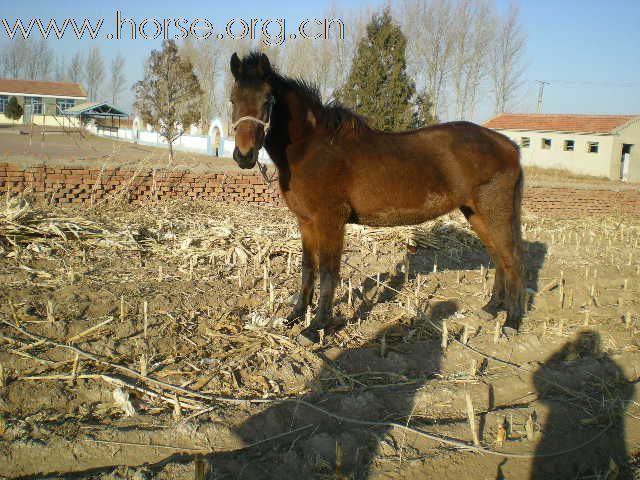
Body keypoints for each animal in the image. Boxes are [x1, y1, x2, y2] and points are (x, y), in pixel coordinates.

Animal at [230, 51, 524, 344]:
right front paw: (295, 315)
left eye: (267, 99)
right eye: (233, 99)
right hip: (475, 213)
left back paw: (512, 321)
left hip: (494, 211)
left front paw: (316, 328)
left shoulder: (330, 221)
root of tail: (508, 145)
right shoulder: (305, 222)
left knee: (512, 259)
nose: (244, 156)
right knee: (498, 256)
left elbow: (328, 272)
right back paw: (491, 308)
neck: (313, 148)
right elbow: (307, 268)